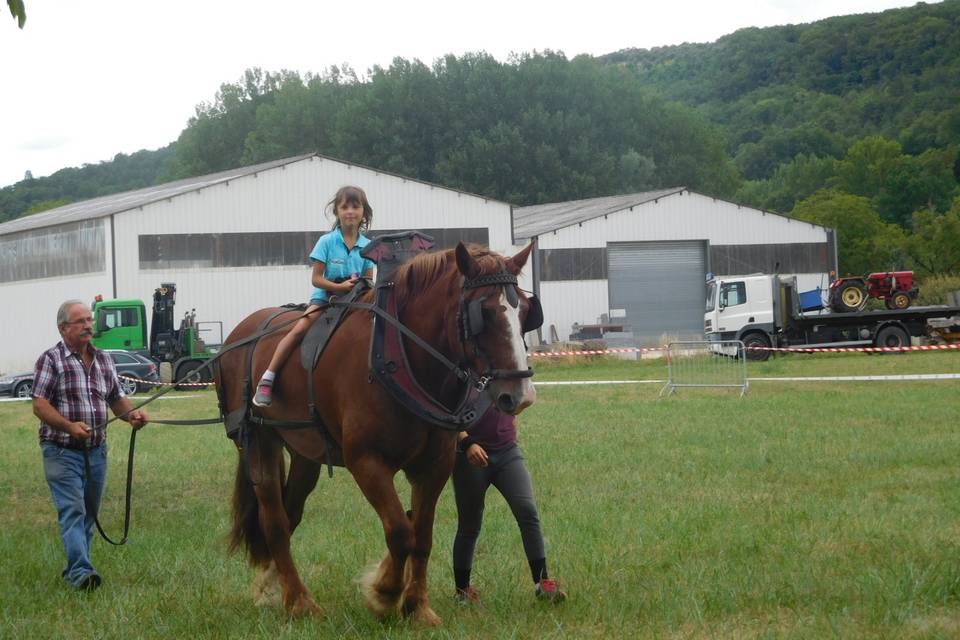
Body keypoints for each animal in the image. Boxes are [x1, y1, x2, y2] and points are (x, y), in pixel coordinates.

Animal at [214, 241, 540, 624]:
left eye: (525, 311)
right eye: (484, 312)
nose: (520, 395)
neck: (402, 356)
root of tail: (239, 333)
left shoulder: (435, 465)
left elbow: (422, 536)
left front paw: (417, 607)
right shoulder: (366, 461)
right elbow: (400, 532)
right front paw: (385, 594)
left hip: (304, 452)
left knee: (291, 513)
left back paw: (271, 585)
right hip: (257, 443)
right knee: (275, 521)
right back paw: (298, 600)